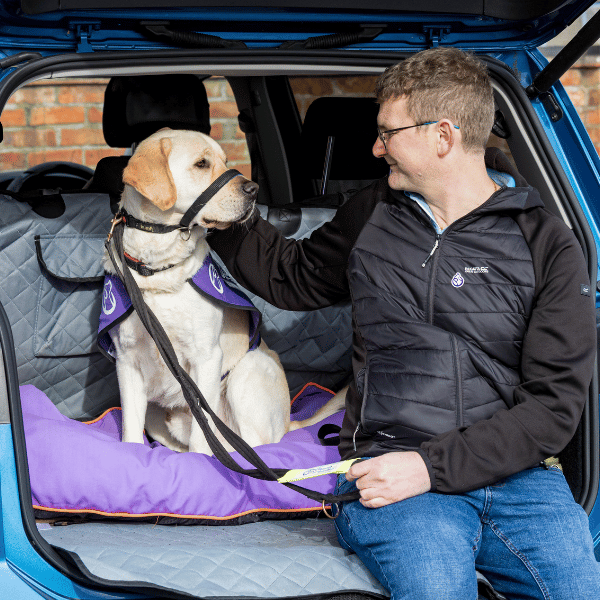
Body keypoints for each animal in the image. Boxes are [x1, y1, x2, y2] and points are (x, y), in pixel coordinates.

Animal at [103, 128, 345, 455]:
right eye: (202, 164)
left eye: (225, 161)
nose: (253, 189)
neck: (157, 271)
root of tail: (288, 422)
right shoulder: (127, 361)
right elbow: (130, 429)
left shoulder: (206, 357)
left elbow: (202, 434)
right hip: (156, 414)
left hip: (247, 371)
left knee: (253, 445)